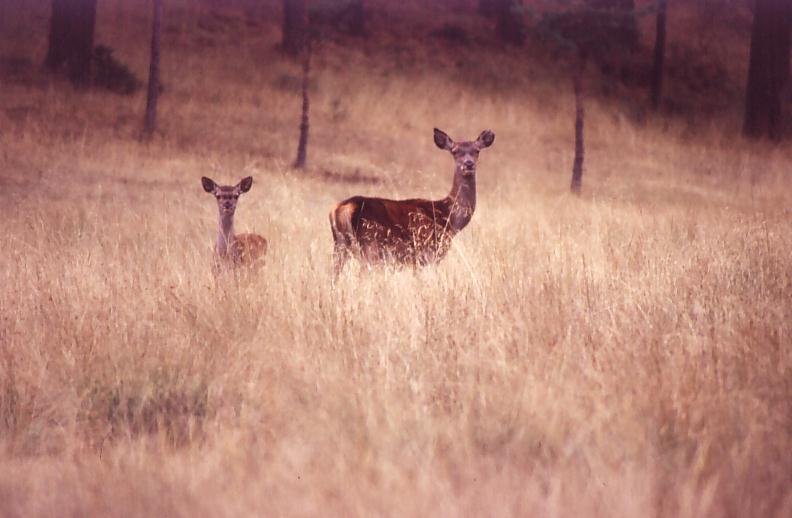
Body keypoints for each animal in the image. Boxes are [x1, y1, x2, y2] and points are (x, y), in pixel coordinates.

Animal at [329, 128, 495, 274]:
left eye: (477, 150)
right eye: (455, 151)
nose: (468, 163)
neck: (447, 218)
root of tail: (343, 208)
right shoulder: (427, 252)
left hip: (340, 246)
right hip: (370, 246)